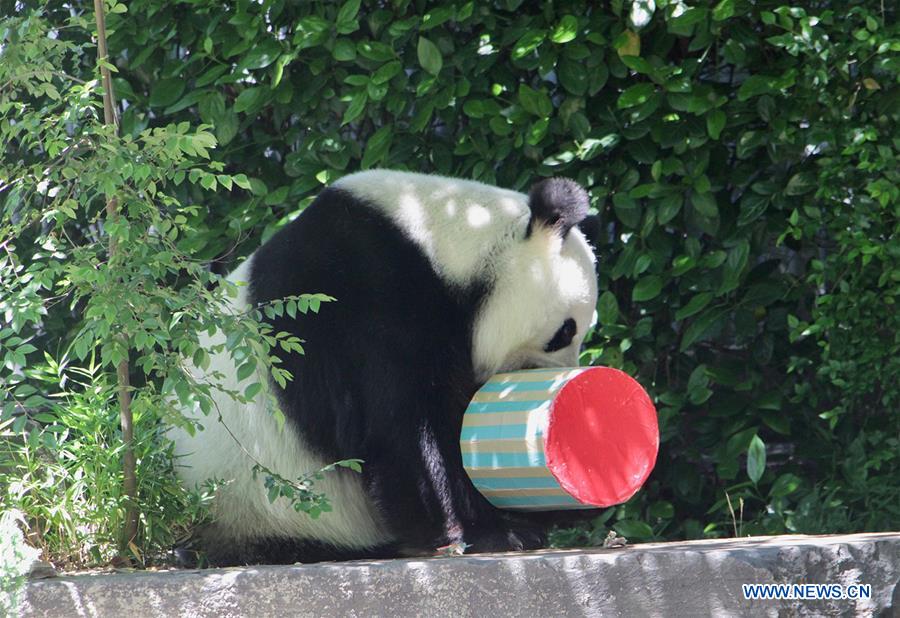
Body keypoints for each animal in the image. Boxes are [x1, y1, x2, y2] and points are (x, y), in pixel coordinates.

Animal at [172, 168, 600, 564]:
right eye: (565, 331)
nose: (562, 378)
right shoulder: (367, 298)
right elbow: (401, 428)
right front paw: (489, 532)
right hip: (265, 509)